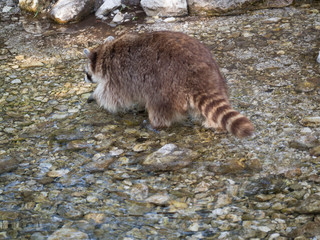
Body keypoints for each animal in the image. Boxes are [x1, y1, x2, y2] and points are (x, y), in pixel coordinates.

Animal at [84, 31, 254, 138]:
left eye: (86, 71)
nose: (85, 78)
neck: (105, 52)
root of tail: (198, 78)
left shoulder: (118, 76)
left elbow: (112, 97)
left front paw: (96, 96)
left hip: (163, 86)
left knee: (158, 107)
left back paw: (156, 124)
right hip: (216, 76)